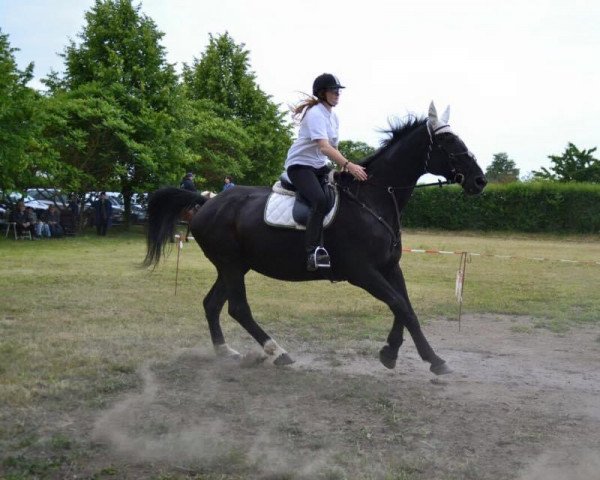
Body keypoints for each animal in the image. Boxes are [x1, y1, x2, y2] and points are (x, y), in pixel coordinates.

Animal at [145, 102, 488, 376]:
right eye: (447, 140)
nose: (480, 181)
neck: (372, 199)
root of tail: (206, 201)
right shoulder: (362, 272)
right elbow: (399, 305)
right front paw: (426, 359)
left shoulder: (390, 268)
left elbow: (406, 308)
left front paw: (400, 354)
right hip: (230, 265)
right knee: (238, 308)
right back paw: (277, 352)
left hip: (234, 267)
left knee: (212, 304)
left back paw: (225, 351)